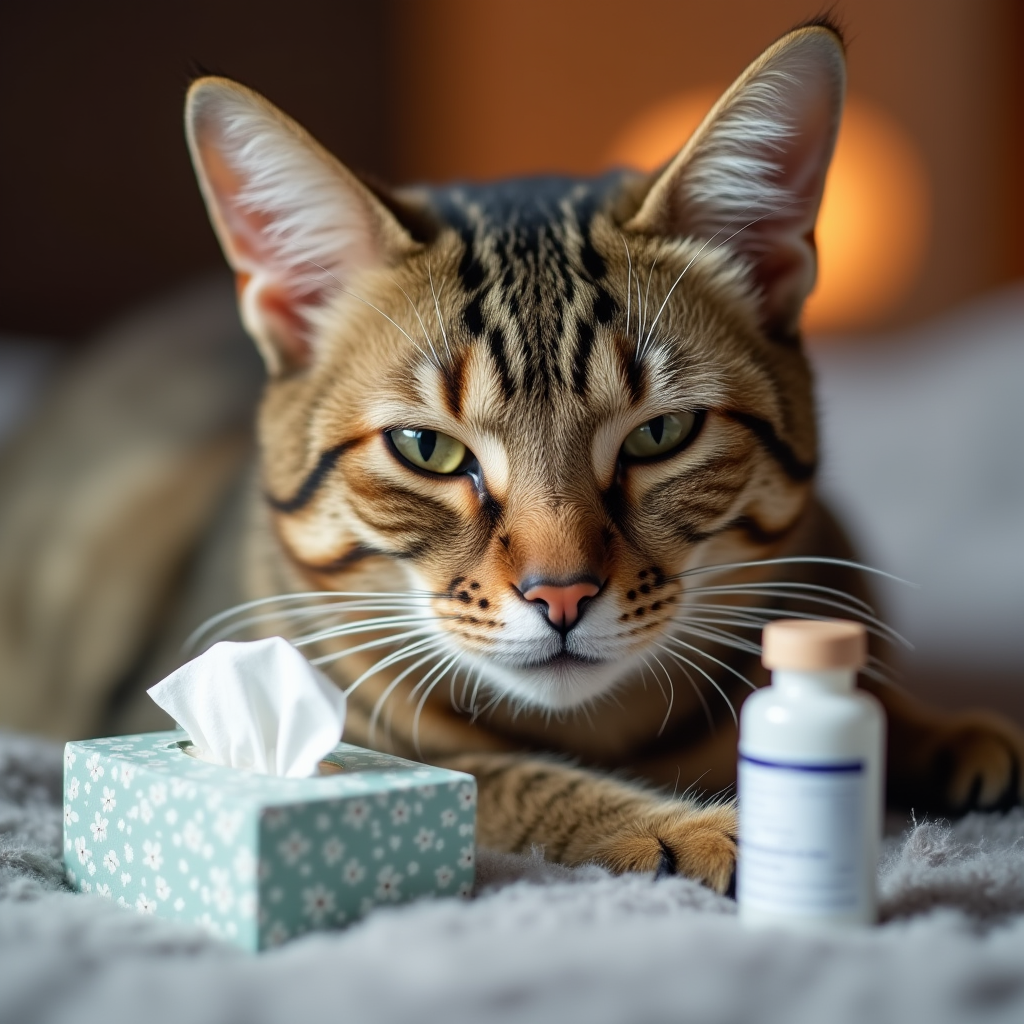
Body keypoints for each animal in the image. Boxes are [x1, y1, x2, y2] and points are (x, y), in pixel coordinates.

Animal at [180, 19, 1024, 892]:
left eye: (661, 433)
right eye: (427, 448)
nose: (562, 595)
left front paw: (934, 731)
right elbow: (498, 776)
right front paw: (681, 825)